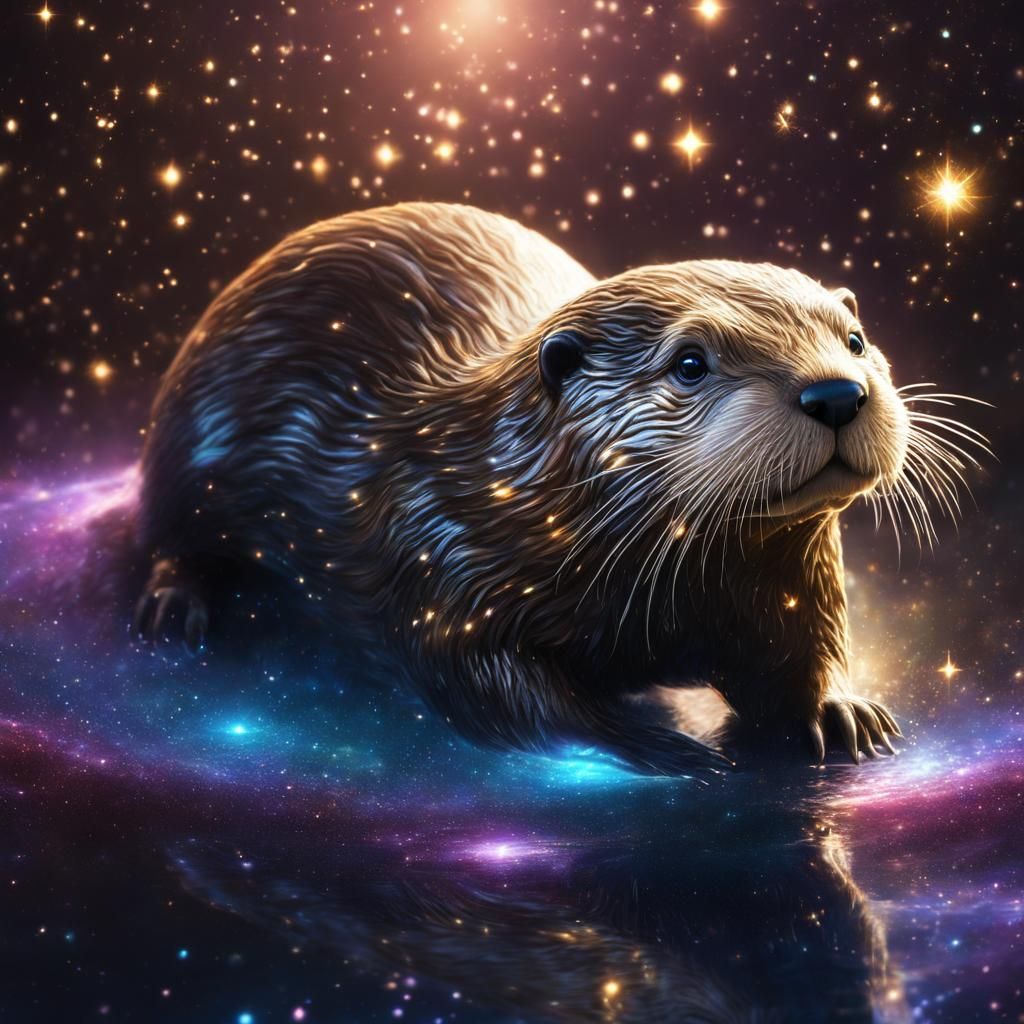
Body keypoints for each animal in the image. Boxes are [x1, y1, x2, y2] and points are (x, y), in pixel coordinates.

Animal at [133, 201, 972, 775]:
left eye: (854, 339)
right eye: (690, 363)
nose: (835, 392)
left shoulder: (797, 581)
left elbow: (809, 643)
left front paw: (843, 708)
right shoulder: (440, 558)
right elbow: (497, 695)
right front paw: (666, 745)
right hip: (185, 434)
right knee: (168, 533)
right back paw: (175, 607)